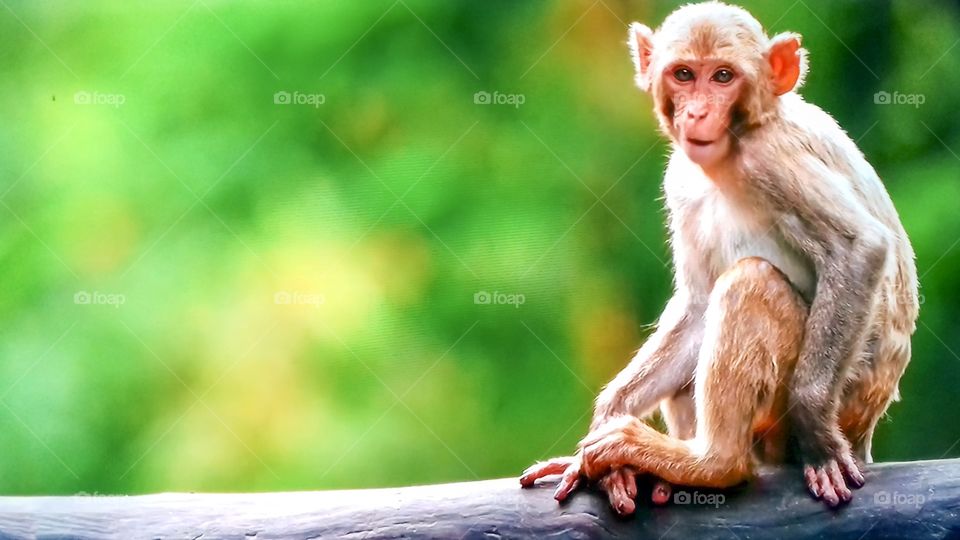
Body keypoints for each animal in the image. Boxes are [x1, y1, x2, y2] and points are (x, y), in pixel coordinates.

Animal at [519, 1, 918, 514]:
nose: (698, 112)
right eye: (684, 75)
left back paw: (714, 462)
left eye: (723, 76)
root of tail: (866, 429)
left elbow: (860, 248)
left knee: (751, 282)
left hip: (828, 405)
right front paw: (605, 422)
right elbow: (696, 305)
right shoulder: (680, 181)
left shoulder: (768, 157)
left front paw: (816, 435)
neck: (731, 154)